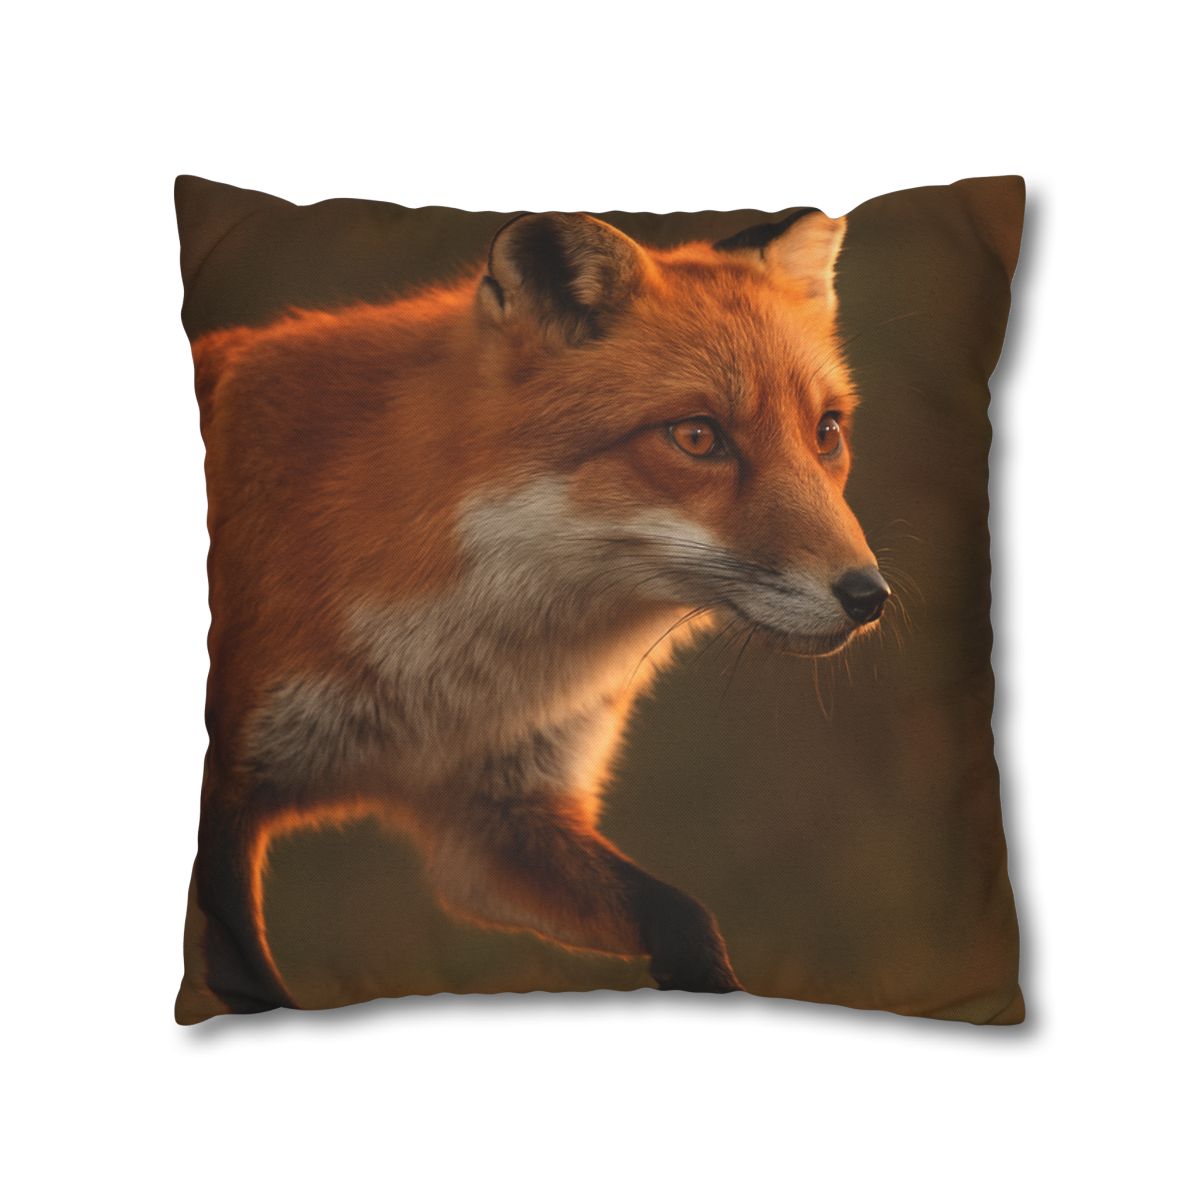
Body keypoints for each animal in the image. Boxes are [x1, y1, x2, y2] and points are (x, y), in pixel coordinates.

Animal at [183, 206, 891, 1017]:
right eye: (697, 436)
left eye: (826, 432)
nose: (869, 596)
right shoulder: (227, 798)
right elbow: (253, 981)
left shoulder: (496, 820)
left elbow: (686, 920)